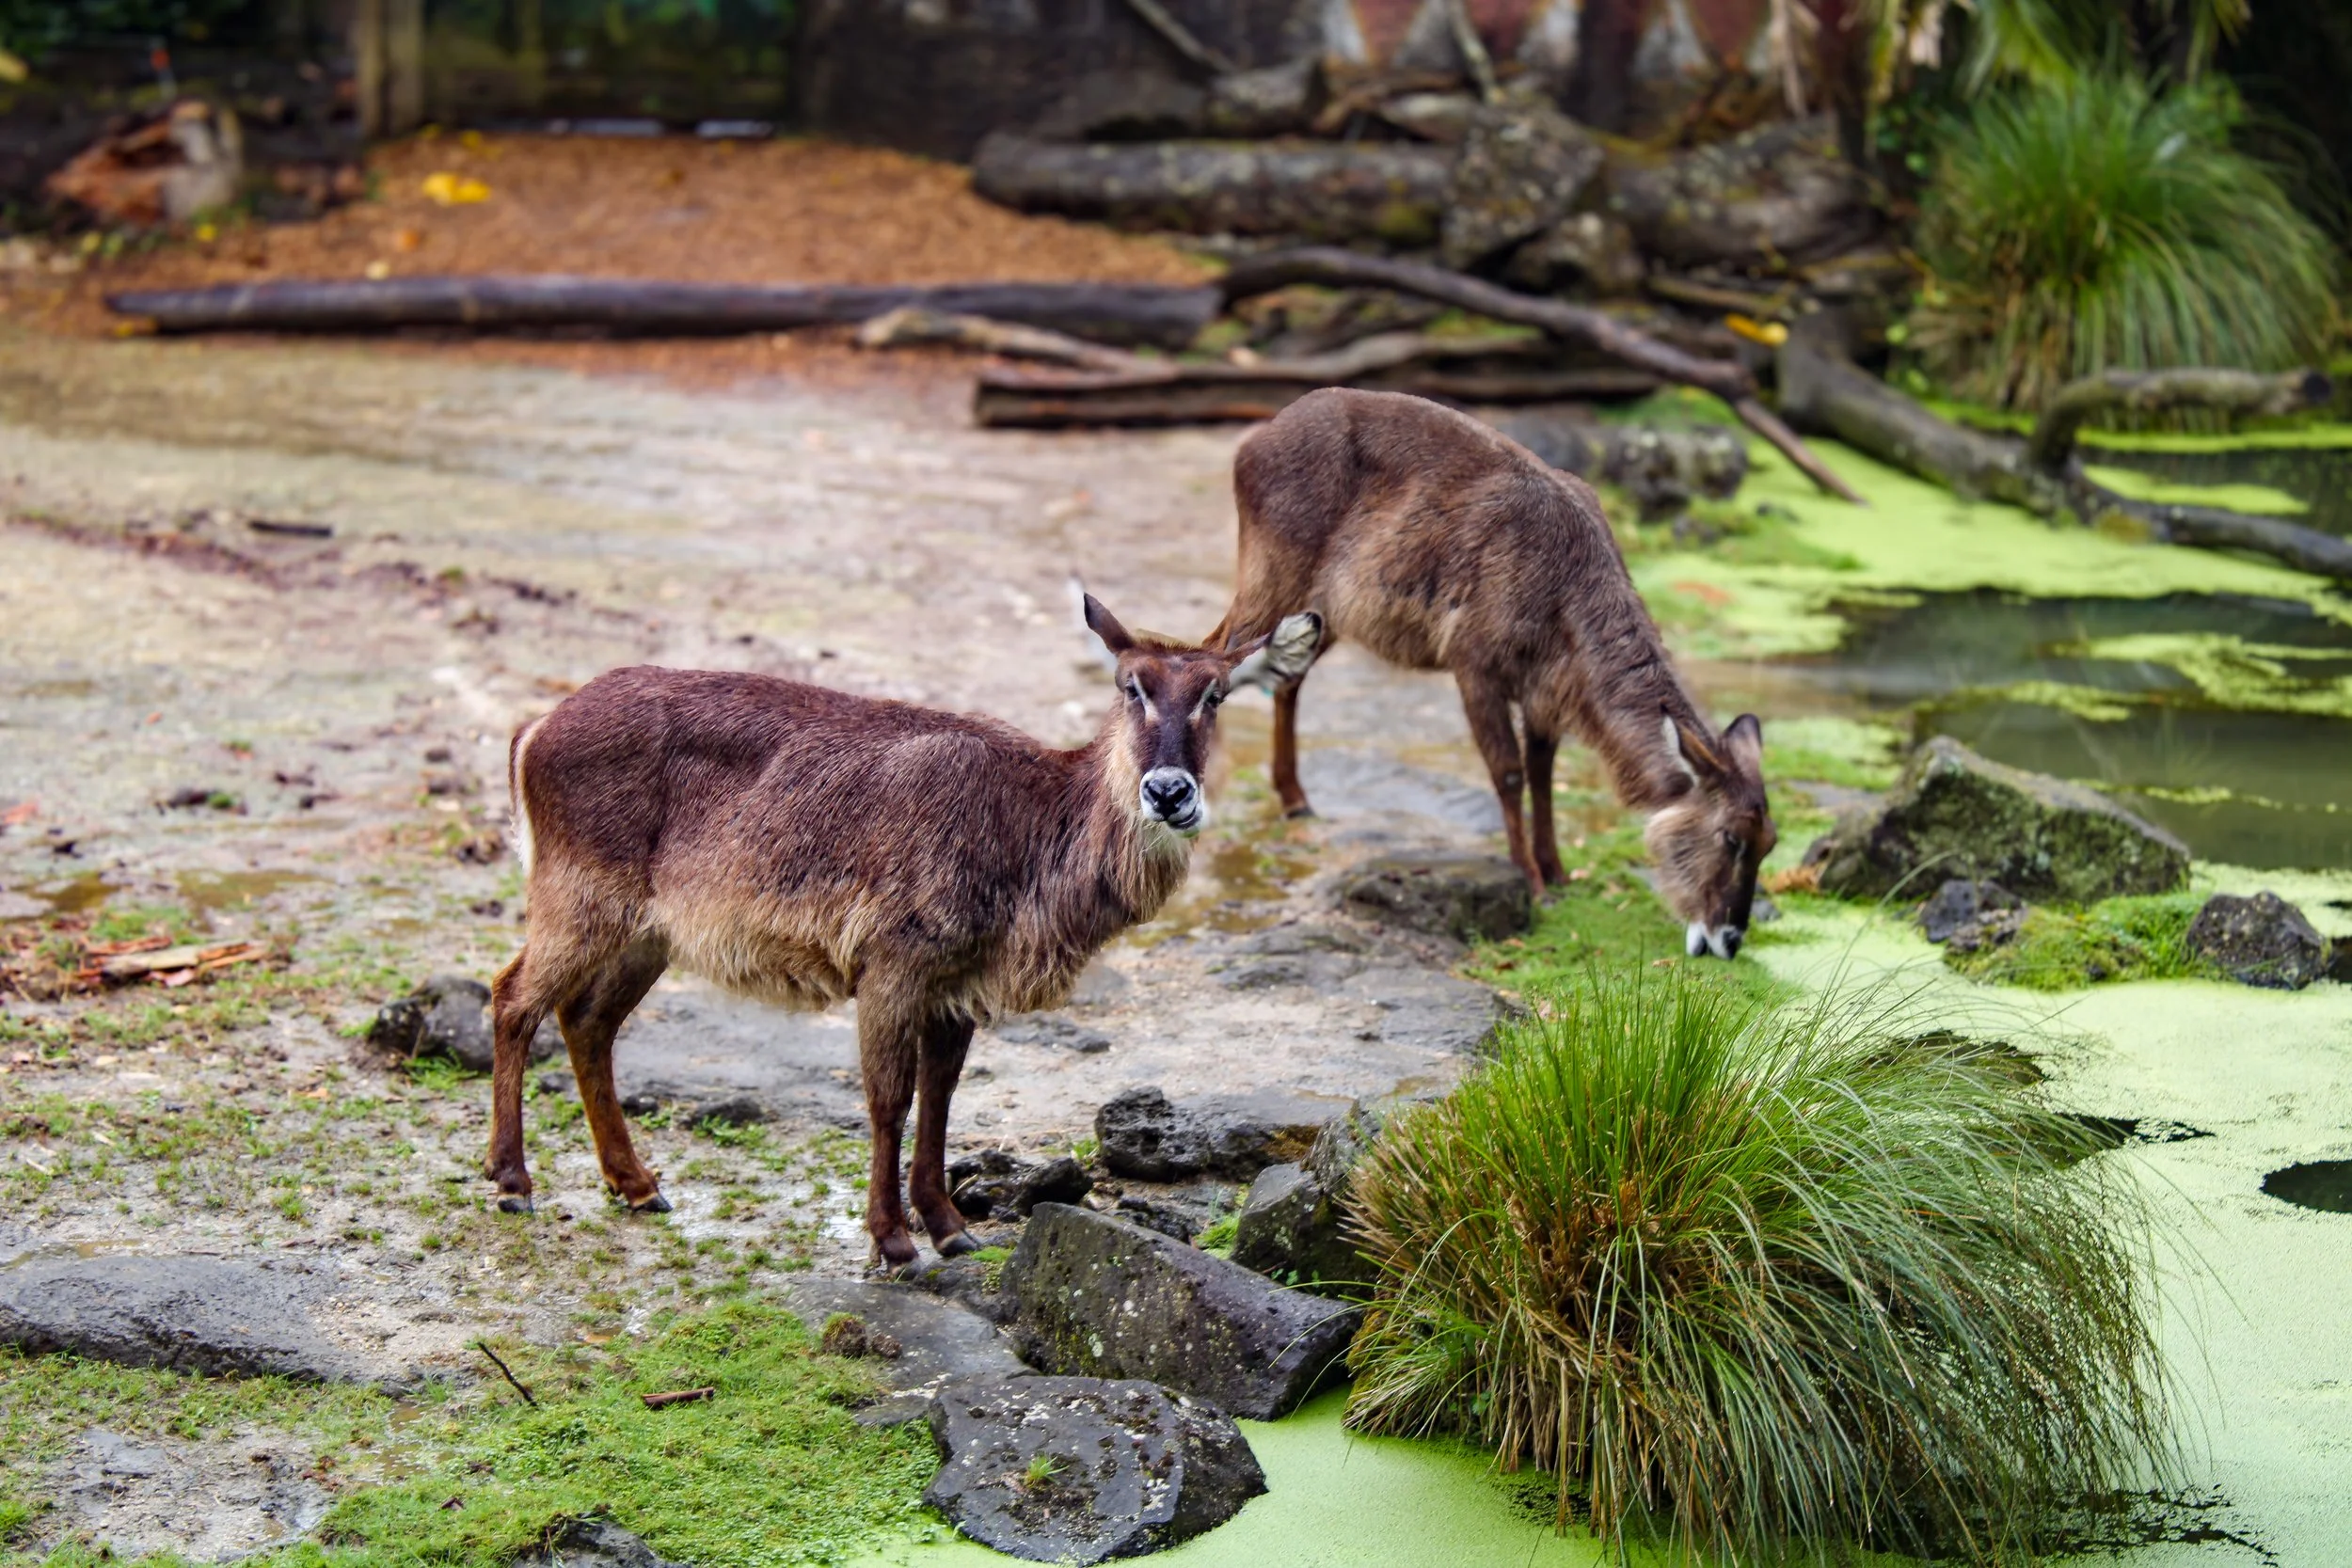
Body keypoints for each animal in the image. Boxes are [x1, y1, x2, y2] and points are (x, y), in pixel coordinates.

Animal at [485, 597, 1322, 1264]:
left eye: (1215, 692)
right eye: (1132, 686)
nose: (1169, 791)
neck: (1031, 845)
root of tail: (530, 730)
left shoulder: (958, 981)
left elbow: (942, 1096)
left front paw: (949, 1226)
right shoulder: (893, 958)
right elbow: (889, 1098)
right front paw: (892, 1239)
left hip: (649, 930)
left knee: (586, 1019)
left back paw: (636, 1183)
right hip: (579, 894)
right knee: (511, 995)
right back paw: (512, 1181)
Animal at [1207, 388, 1774, 958]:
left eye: (1769, 842)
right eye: (1730, 836)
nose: (1729, 938)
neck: (1565, 596)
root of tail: (1249, 447)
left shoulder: (1545, 690)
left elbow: (1543, 773)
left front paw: (1559, 872)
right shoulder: (1473, 662)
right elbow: (1508, 771)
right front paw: (1534, 882)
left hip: (1326, 612)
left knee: (1284, 676)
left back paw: (1296, 799)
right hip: (1273, 573)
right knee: (1219, 651)